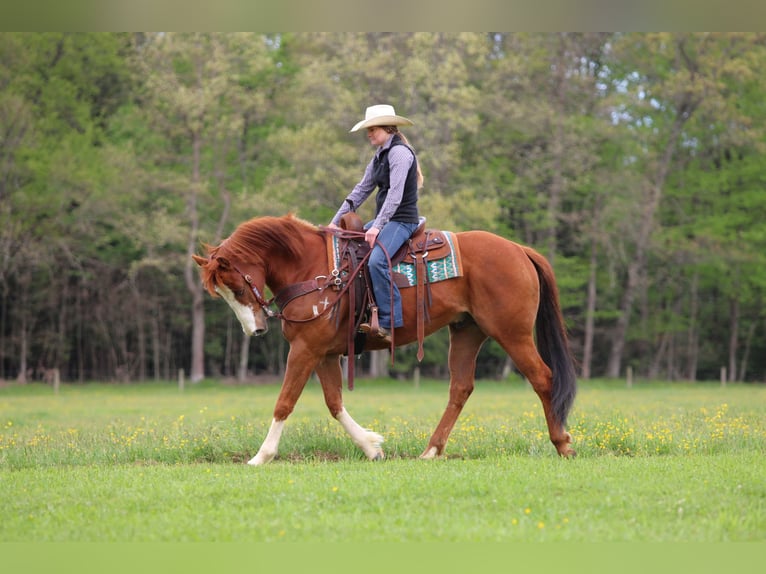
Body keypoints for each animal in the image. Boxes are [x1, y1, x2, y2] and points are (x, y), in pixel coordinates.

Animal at [192, 214, 577, 465]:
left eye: (237, 285)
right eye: (222, 293)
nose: (255, 329)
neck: (313, 269)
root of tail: (519, 249)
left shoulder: (304, 350)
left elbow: (284, 402)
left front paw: (261, 456)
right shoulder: (324, 353)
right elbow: (334, 403)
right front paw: (371, 446)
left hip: (511, 333)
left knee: (543, 378)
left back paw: (563, 444)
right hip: (467, 331)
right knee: (460, 388)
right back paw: (431, 451)